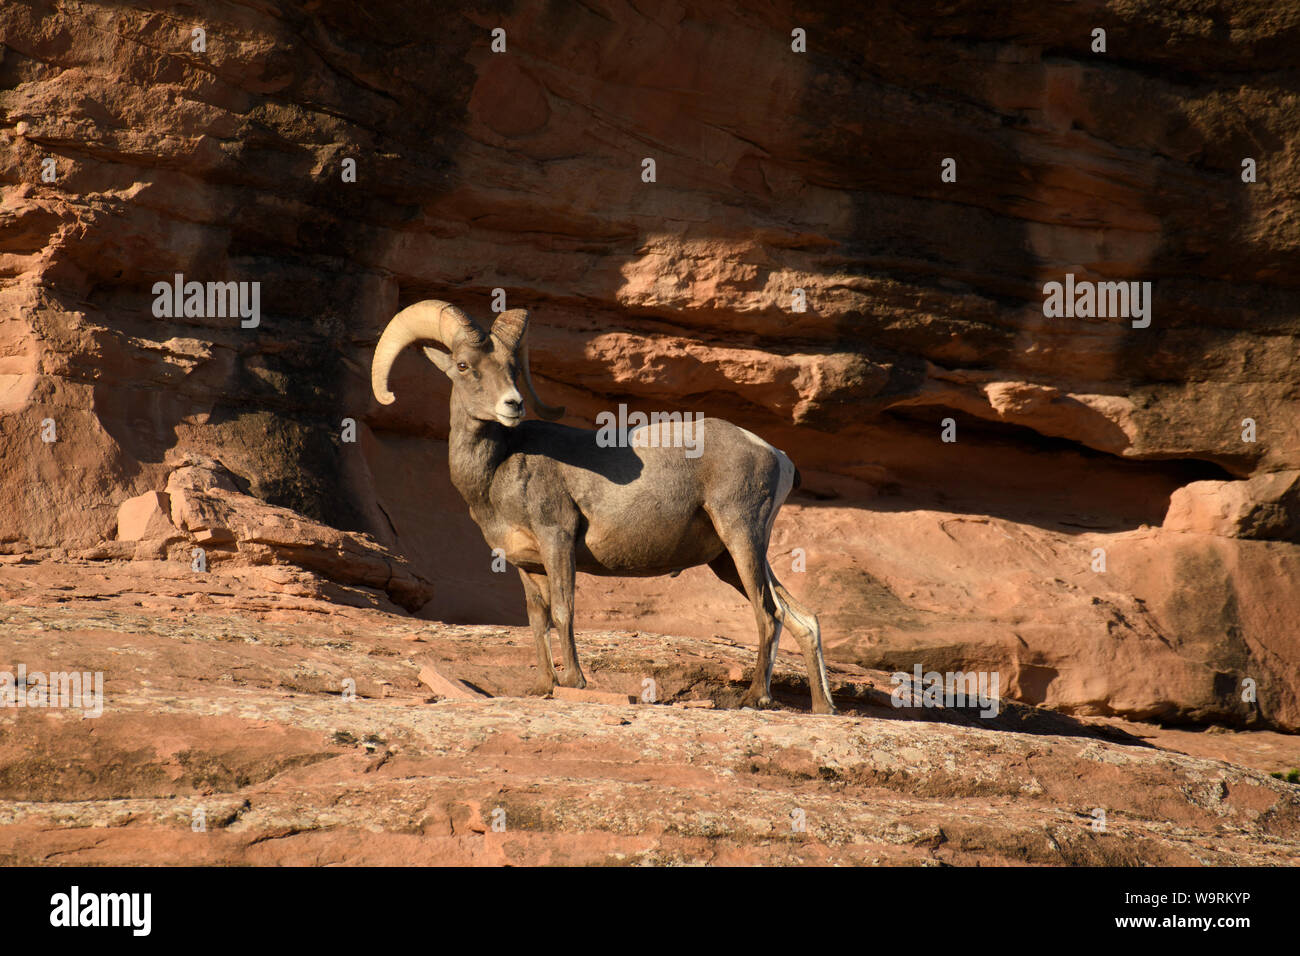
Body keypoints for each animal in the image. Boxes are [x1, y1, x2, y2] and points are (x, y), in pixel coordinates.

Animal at [369, 303, 832, 712]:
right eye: (464, 366)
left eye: (512, 368)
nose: (512, 405)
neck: (498, 467)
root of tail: (775, 454)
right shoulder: (526, 565)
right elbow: (537, 620)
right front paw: (543, 687)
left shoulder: (557, 541)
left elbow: (563, 611)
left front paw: (575, 682)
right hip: (728, 559)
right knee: (803, 619)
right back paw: (823, 707)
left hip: (740, 536)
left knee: (768, 614)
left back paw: (756, 698)